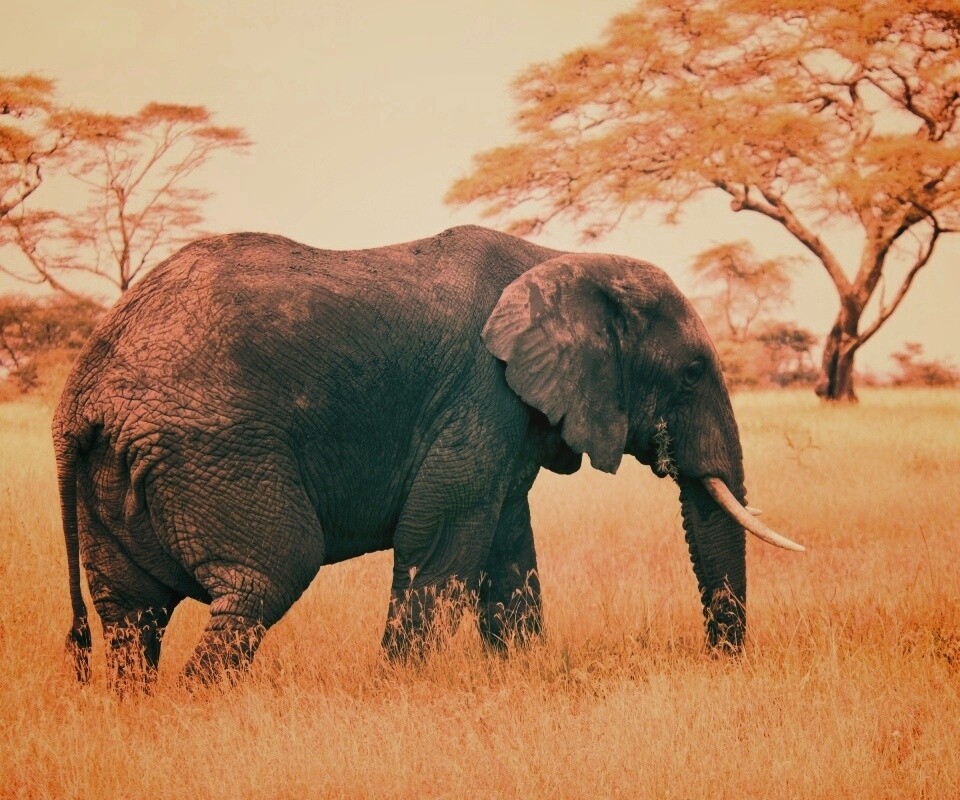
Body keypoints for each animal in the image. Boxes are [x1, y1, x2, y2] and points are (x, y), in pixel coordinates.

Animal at [54, 224, 803, 686]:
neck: (560, 258)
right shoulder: (481, 391)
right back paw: (201, 708)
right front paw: (398, 689)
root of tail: (81, 396)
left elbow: (507, 546)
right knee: (266, 577)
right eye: (690, 374)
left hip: (121, 471)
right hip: (214, 449)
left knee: (130, 615)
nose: (720, 664)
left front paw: (520, 675)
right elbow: (441, 536)